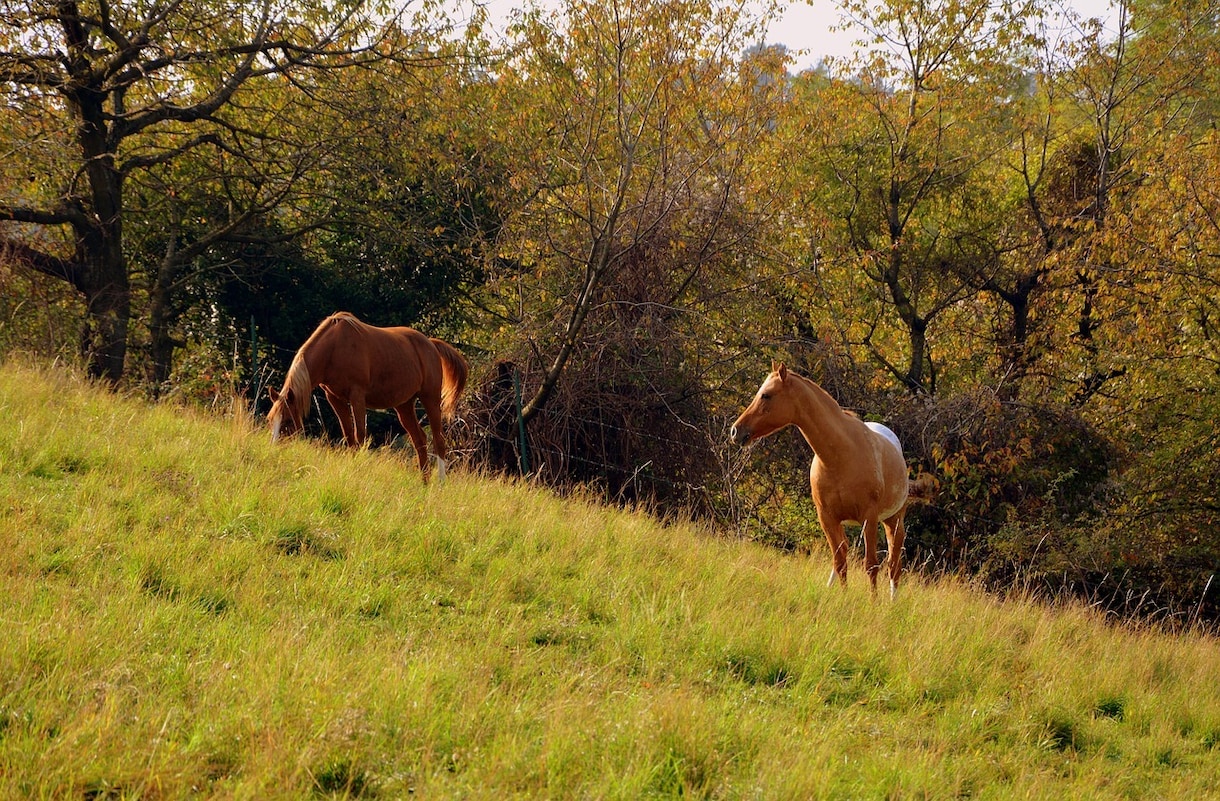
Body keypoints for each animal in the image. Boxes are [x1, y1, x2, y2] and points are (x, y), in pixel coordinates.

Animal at [267, 312, 468, 481]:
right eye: (271, 421)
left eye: (287, 421)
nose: (274, 451)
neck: (334, 349)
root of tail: (431, 344)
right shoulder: (334, 398)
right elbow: (349, 436)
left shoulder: (357, 396)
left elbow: (360, 435)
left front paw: (358, 470)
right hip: (404, 405)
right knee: (420, 440)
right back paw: (424, 484)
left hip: (430, 399)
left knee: (439, 441)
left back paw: (440, 483)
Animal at [730, 362, 919, 599]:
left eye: (766, 395)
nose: (735, 431)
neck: (840, 456)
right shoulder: (827, 517)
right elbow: (840, 561)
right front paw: (843, 597)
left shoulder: (870, 517)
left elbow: (871, 564)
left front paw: (873, 601)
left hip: (894, 521)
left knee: (894, 565)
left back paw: (892, 601)